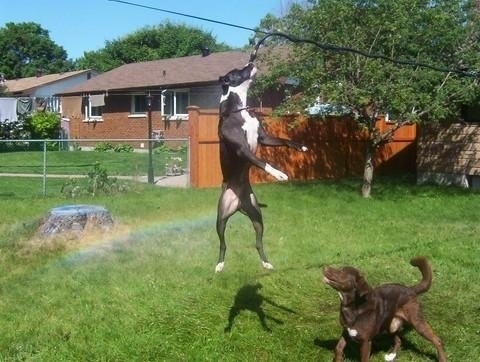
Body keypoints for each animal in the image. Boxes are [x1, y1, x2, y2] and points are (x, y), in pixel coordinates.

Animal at [215, 62, 308, 272]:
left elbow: (284, 140)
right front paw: (279, 174)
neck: (239, 109)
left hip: (257, 216)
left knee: (258, 242)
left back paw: (266, 262)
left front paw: (301, 146)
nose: (250, 62)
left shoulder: (264, 138)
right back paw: (220, 264)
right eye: (237, 71)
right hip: (221, 219)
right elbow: (263, 162)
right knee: (223, 244)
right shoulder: (242, 150)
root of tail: (238, 204)